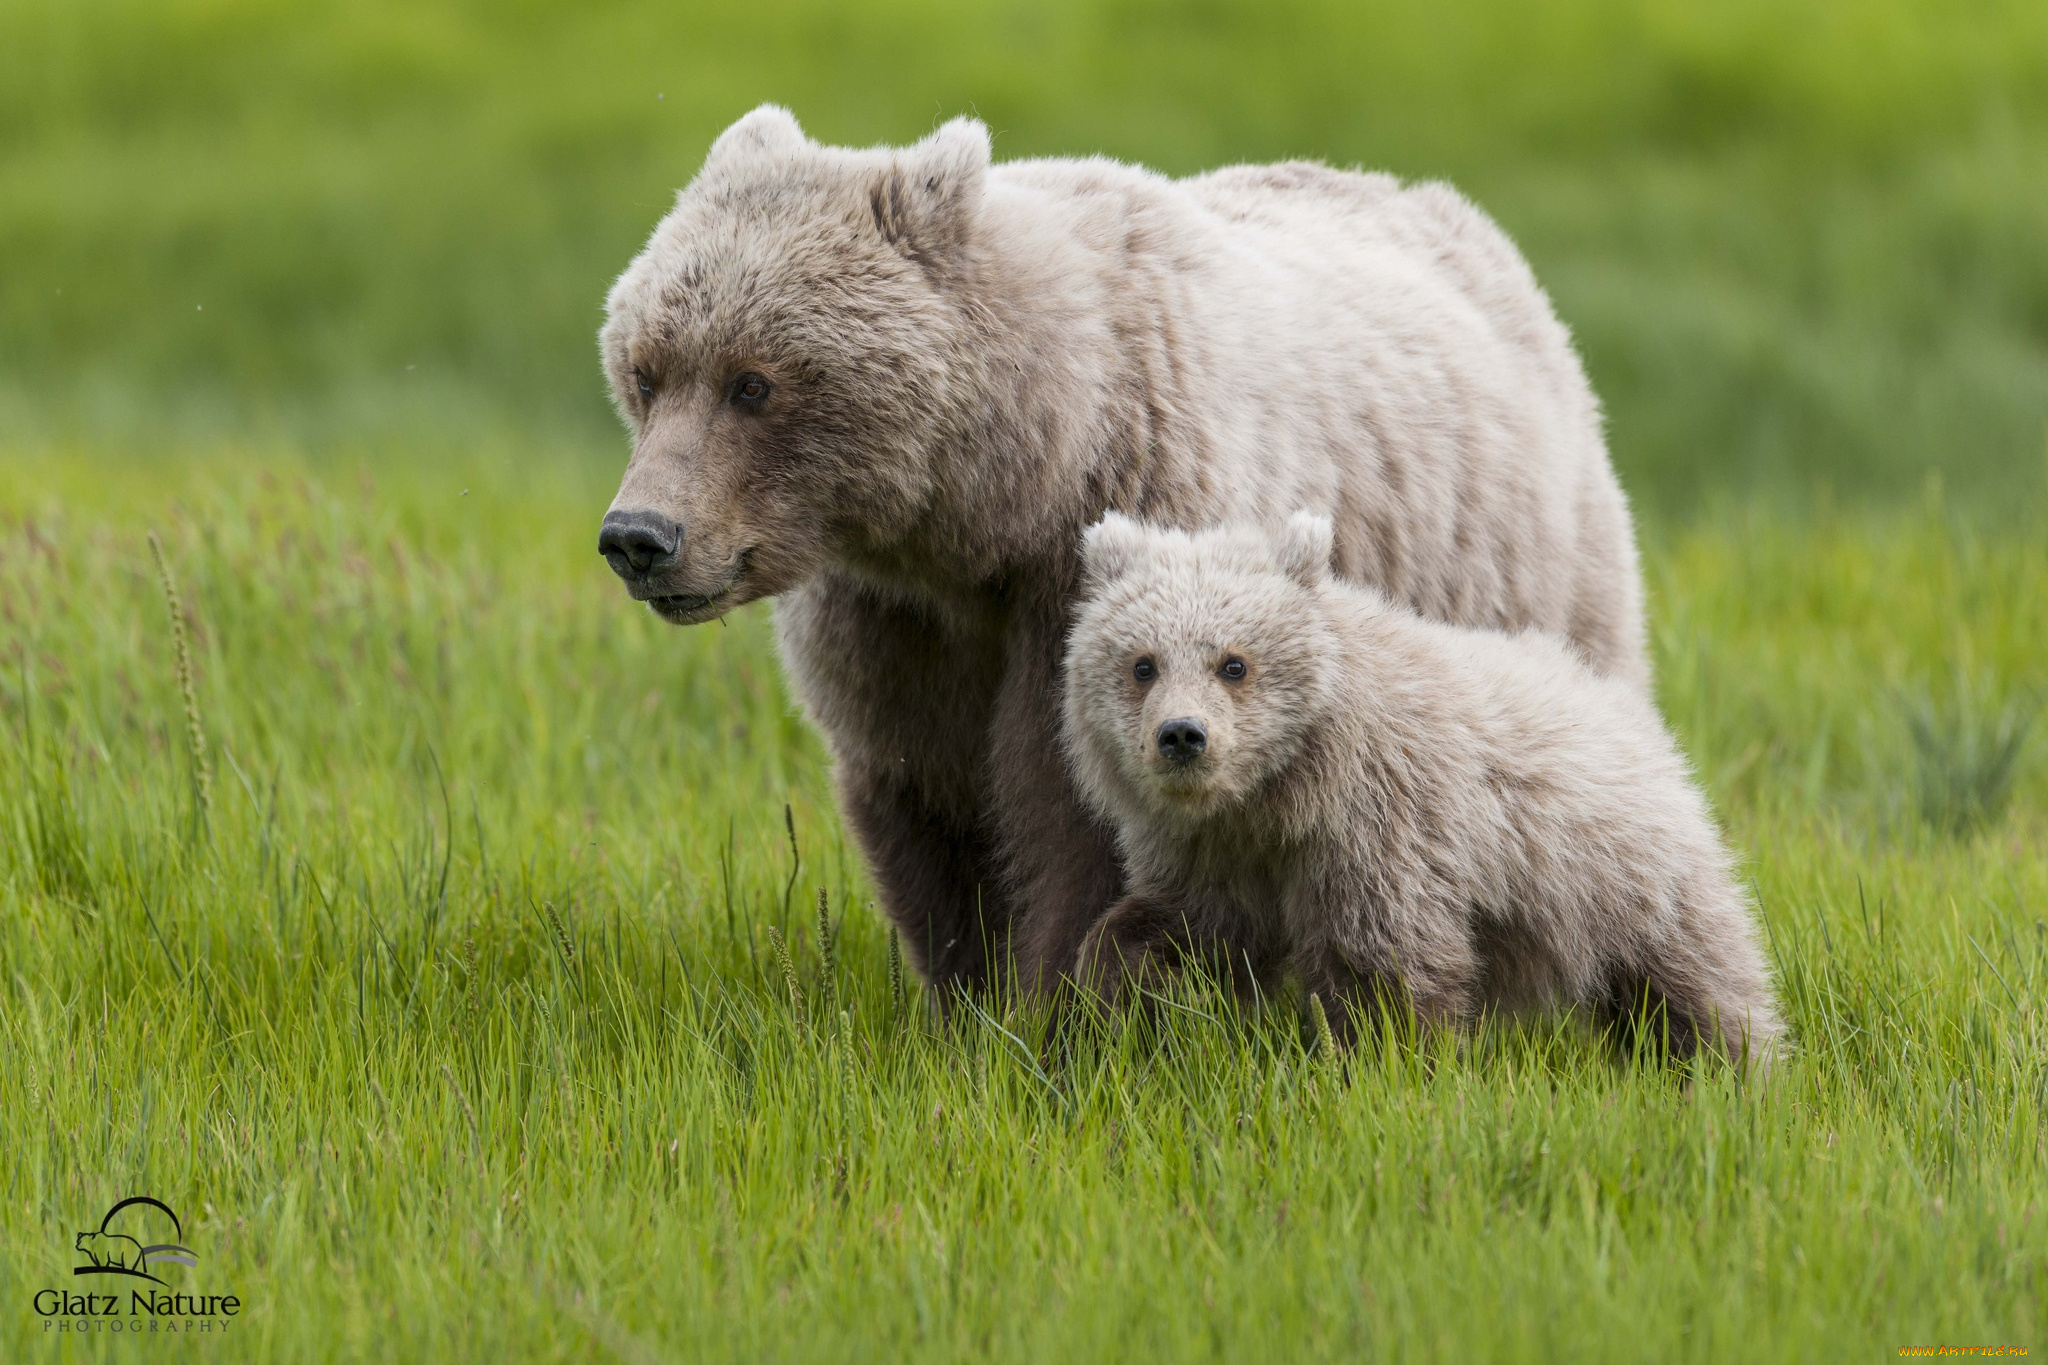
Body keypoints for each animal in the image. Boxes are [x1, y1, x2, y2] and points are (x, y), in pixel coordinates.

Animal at [593, 106, 1646, 998]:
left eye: (753, 383)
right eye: (646, 370)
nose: (639, 536)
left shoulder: (1123, 536)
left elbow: (1088, 810)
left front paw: (1056, 1008)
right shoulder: (898, 623)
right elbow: (927, 796)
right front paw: (968, 1000)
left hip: (1525, 572)